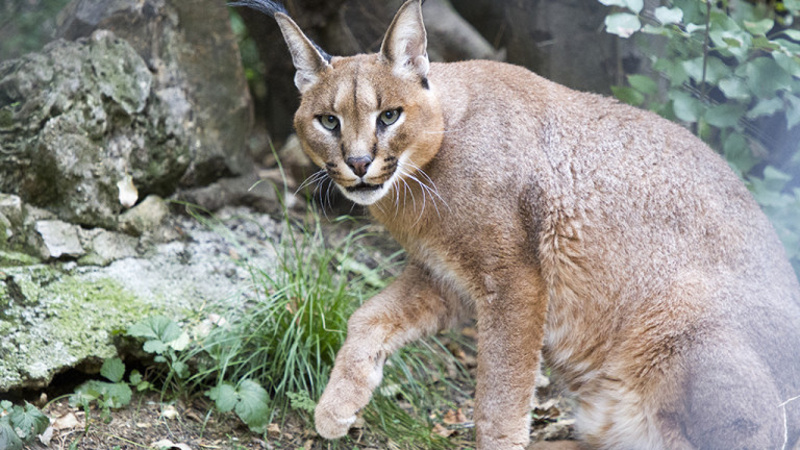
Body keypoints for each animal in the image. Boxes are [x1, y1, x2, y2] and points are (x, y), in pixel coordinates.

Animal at [230, 1, 800, 448]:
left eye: (389, 116)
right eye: (328, 121)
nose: (359, 163)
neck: (422, 178)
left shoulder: (514, 280)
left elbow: (498, 396)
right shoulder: (447, 276)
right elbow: (365, 317)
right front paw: (336, 406)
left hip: (682, 323)